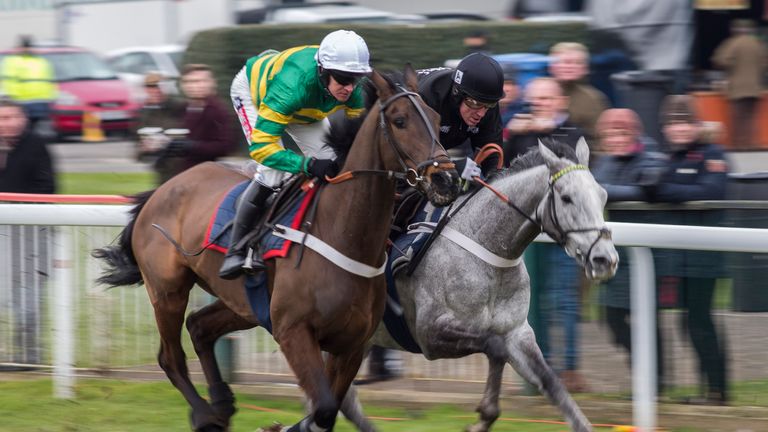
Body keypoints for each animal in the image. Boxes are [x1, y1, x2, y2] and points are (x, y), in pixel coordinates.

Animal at [93, 67, 460, 432]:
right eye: (400, 121)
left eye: (436, 117)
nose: (446, 181)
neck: (342, 234)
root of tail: (158, 192)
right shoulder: (293, 332)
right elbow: (323, 409)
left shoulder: (351, 344)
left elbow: (326, 413)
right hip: (168, 290)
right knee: (170, 357)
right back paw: (205, 414)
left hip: (245, 305)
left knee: (199, 327)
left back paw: (222, 404)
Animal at [342, 140, 616, 430]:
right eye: (566, 198)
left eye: (602, 196)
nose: (605, 260)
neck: (488, 250)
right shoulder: (430, 333)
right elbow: (495, 347)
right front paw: (482, 417)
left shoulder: (516, 332)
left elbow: (552, 384)